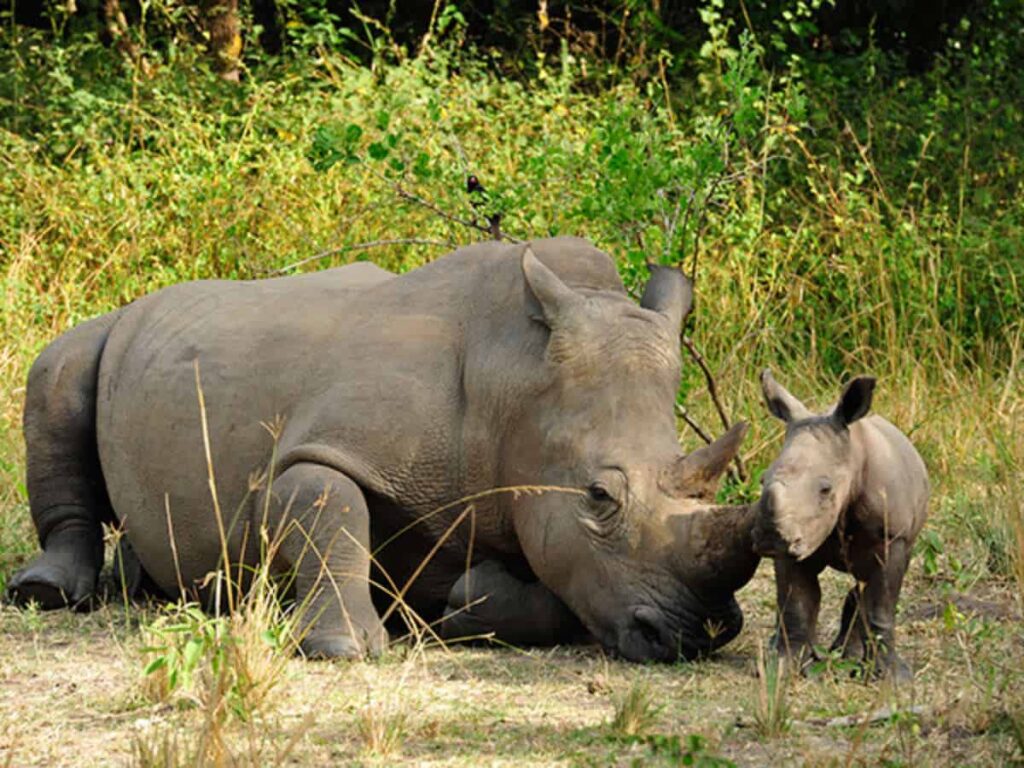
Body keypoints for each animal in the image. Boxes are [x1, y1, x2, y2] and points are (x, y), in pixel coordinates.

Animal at [7, 236, 759, 662]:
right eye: (600, 497)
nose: (696, 635)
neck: (513, 378)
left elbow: (557, 591)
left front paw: (463, 605)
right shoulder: (322, 446)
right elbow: (329, 506)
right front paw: (343, 649)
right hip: (108, 328)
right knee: (59, 368)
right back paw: (47, 593)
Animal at [752, 370, 929, 679]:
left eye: (826, 489)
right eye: (762, 480)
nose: (770, 539)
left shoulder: (893, 537)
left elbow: (881, 604)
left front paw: (893, 678)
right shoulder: (797, 540)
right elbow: (796, 603)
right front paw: (782, 667)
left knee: (865, 587)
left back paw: (851, 658)